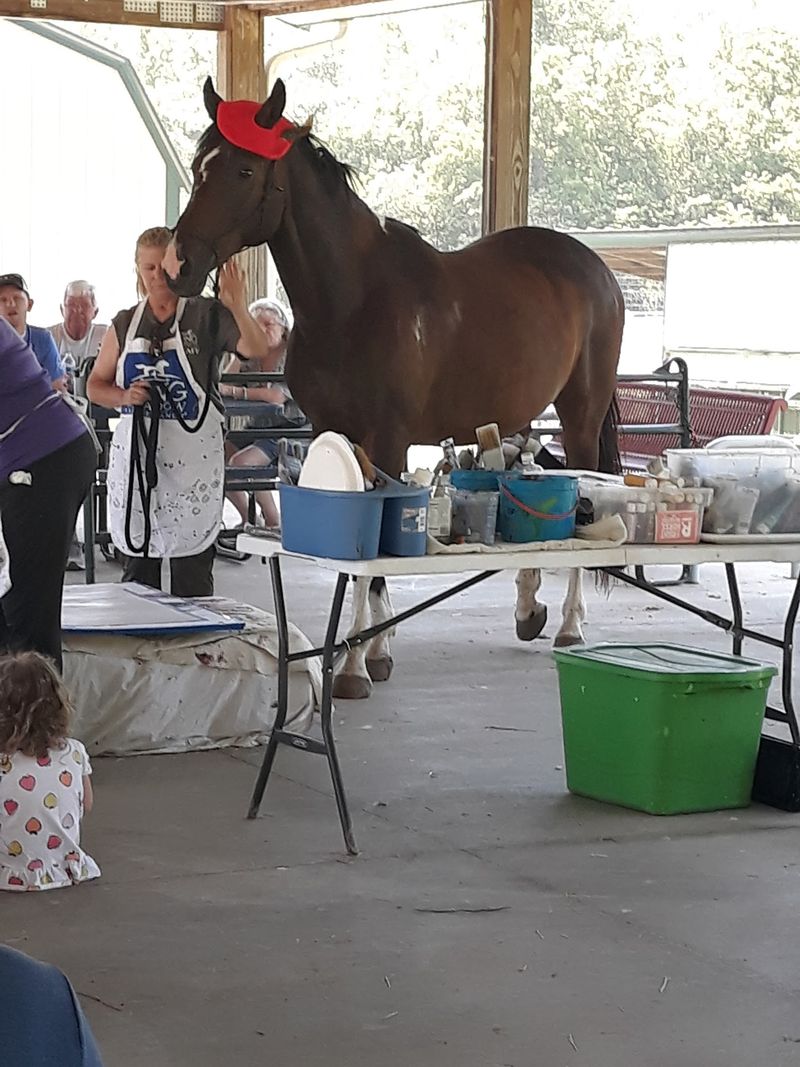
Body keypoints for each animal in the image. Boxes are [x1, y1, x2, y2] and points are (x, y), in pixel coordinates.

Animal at [165, 77, 624, 700]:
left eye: (243, 169)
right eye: (199, 164)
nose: (179, 265)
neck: (353, 299)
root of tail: (594, 268)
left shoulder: (386, 438)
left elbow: (376, 553)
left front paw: (357, 665)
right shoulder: (335, 433)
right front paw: (372, 649)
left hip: (580, 412)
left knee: (582, 484)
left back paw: (572, 625)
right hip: (517, 415)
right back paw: (529, 607)